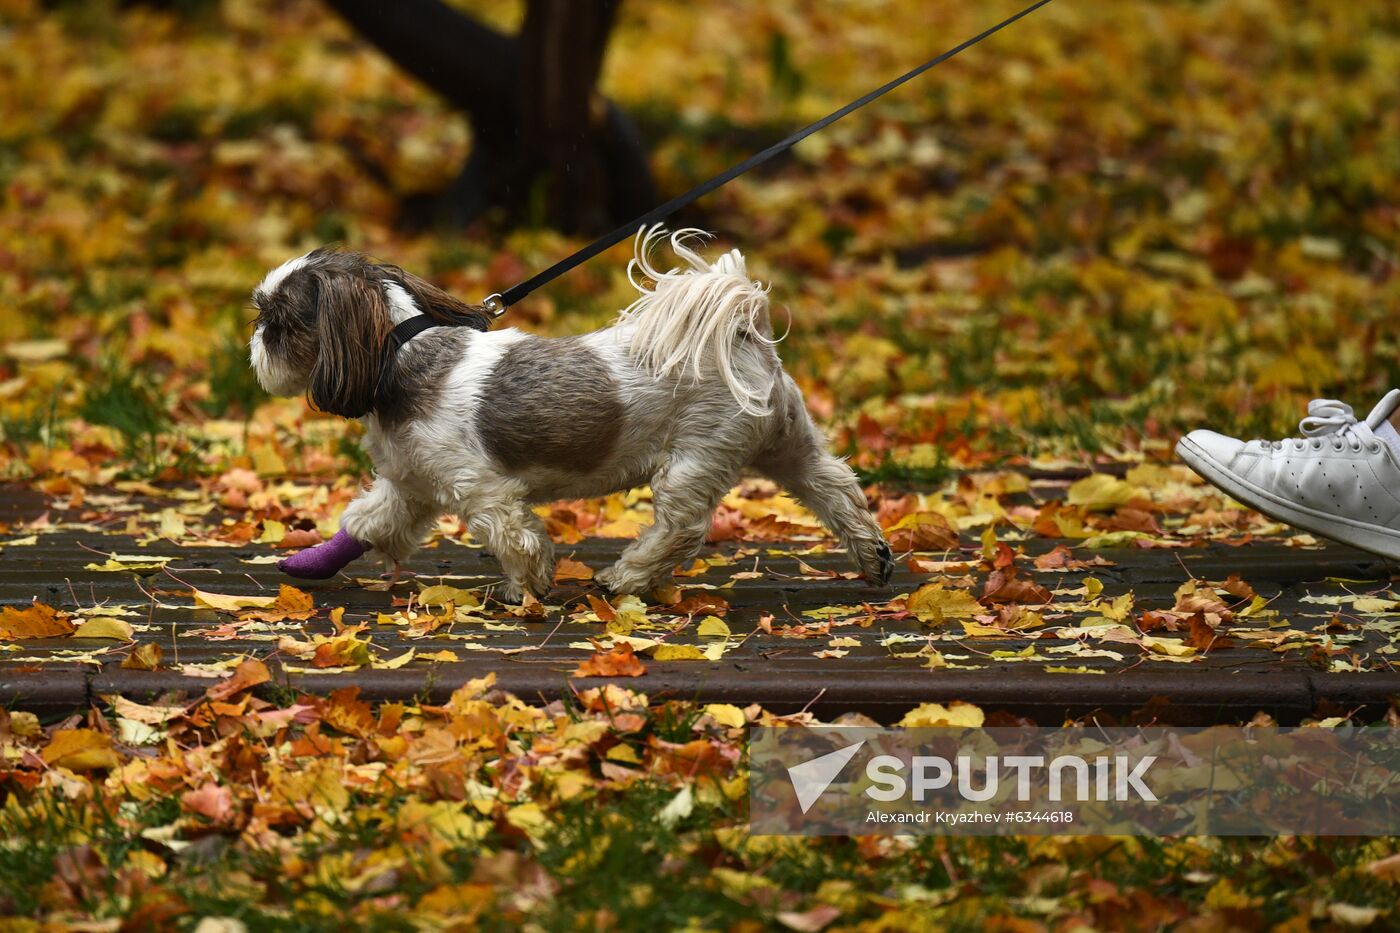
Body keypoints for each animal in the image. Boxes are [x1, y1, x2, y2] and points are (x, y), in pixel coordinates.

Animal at [246, 228, 890, 599]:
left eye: (277, 323)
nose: (253, 343)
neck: (403, 359)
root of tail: (743, 331)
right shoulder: (411, 482)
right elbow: (367, 523)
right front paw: (312, 561)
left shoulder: (482, 490)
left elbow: (516, 538)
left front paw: (526, 589)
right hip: (787, 445)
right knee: (835, 488)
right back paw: (874, 556)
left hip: (696, 459)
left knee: (681, 530)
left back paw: (626, 577)